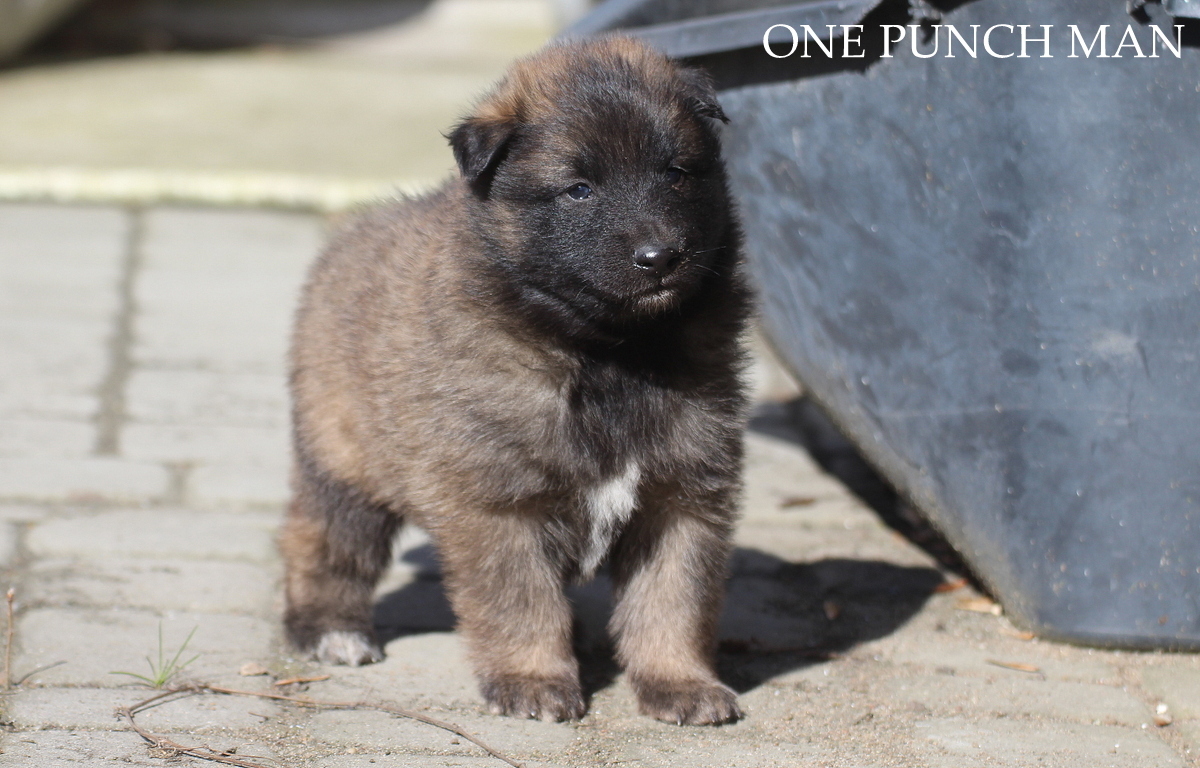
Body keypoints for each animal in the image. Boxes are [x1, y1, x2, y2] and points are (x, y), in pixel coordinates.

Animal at [282, 36, 751, 725]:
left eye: (677, 173)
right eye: (579, 189)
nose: (660, 257)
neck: (610, 353)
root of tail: (348, 237)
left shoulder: (684, 497)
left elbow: (673, 602)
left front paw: (680, 682)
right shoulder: (500, 504)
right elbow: (520, 601)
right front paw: (532, 678)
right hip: (344, 464)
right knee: (322, 544)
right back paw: (329, 629)